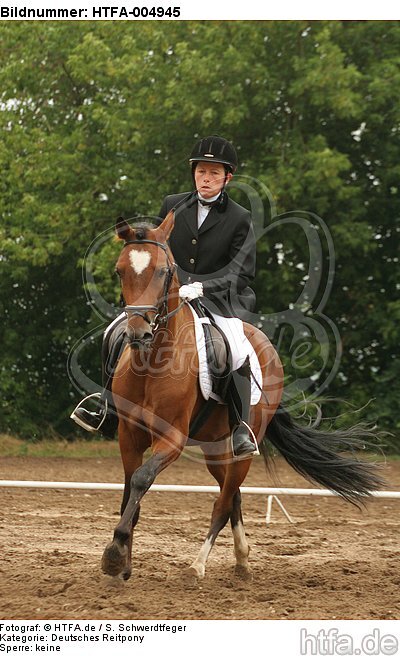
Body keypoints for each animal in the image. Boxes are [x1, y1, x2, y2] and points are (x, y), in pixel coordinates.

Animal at [100, 210, 385, 582]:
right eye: (120, 270)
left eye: (164, 271)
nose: (138, 333)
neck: (153, 362)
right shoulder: (129, 435)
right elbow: (128, 492)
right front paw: (122, 564)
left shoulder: (172, 438)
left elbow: (142, 479)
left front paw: (115, 553)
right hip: (215, 450)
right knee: (232, 496)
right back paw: (241, 561)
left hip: (243, 446)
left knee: (223, 503)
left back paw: (199, 566)